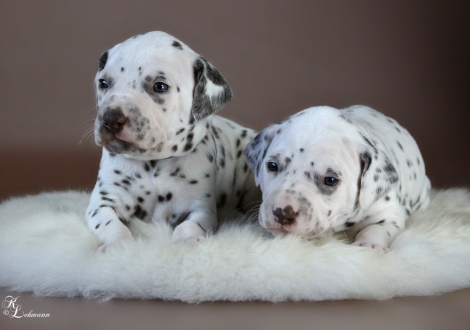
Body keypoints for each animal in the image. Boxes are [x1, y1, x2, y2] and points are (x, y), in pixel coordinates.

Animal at [86, 32, 258, 251]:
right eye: (104, 83)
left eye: (159, 86)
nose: (110, 120)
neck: (153, 163)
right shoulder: (102, 202)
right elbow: (111, 224)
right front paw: (118, 245)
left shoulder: (200, 209)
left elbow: (189, 225)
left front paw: (187, 240)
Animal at [244, 105, 432, 250]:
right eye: (272, 165)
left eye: (330, 180)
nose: (282, 213)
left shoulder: (390, 212)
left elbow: (375, 228)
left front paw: (368, 245)